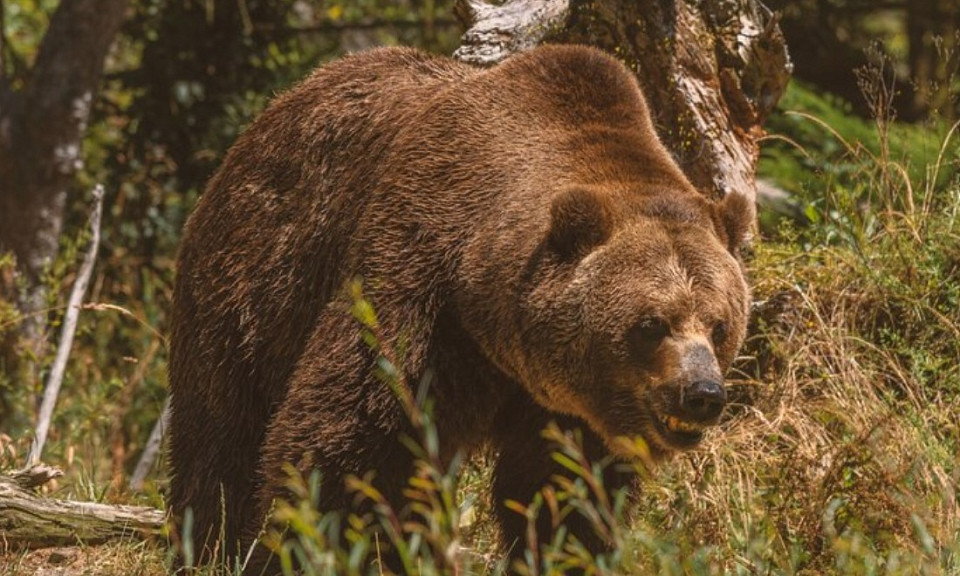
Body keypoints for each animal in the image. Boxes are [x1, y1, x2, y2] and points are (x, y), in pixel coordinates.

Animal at [167, 42, 752, 568]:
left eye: (720, 325)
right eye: (652, 323)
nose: (701, 394)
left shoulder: (570, 408)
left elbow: (564, 492)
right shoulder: (420, 290)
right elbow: (357, 440)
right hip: (254, 282)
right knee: (220, 433)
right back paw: (209, 546)